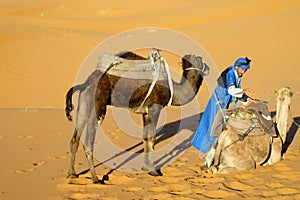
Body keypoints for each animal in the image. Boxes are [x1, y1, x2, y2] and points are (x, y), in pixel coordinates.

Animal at [65, 50, 209, 184]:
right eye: (200, 60)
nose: (208, 67)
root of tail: (87, 83)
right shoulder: (155, 109)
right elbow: (152, 139)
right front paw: (154, 171)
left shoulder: (145, 112)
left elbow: (145, 138)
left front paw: (146, 168)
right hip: (99, 104)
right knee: (89, 142)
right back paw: (95, 178)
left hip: (83, 104)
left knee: (75, 138)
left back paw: (72, 173)